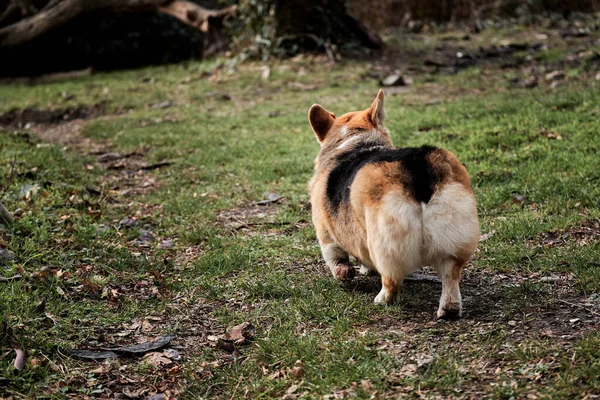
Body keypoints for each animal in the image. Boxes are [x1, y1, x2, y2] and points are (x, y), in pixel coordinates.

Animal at [308, 89, 480, 318]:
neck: (353, 141)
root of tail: (416, 167)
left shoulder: (325, 231)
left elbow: (335, 256)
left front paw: (346, 272)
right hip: (453, 232)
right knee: (451, 274)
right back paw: (449, 309)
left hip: (384, 240)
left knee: (391, 277)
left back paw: (382, 299)